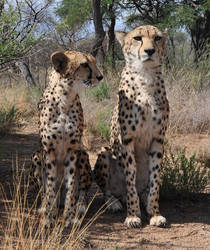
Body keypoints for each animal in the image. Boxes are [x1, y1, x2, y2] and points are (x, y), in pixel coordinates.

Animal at [31, 50, 103, 227]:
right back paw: (45, 206)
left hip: (83, 155)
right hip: (36, 155)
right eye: (84, 64)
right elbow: (50, 186)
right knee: (45, 191)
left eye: (94, 62)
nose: (100, 77)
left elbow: (70, 186)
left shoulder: (72, 150)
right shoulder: (48, 150)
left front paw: (69, 217)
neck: (65, 98)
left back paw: (79, 207)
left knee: (81, 191)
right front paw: (48, 217)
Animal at [93, 25, 169, 229]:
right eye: (137, 38)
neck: (145, 76)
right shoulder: (127, 140)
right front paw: (133, 215)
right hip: (104, 152)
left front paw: (154, 212)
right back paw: (115, 202)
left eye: (158, 38)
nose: (149, 51)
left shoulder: (158, 139)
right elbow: (130, 179)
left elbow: (155, 182)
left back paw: (145, 201)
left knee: (146, 187)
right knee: (107, 190)